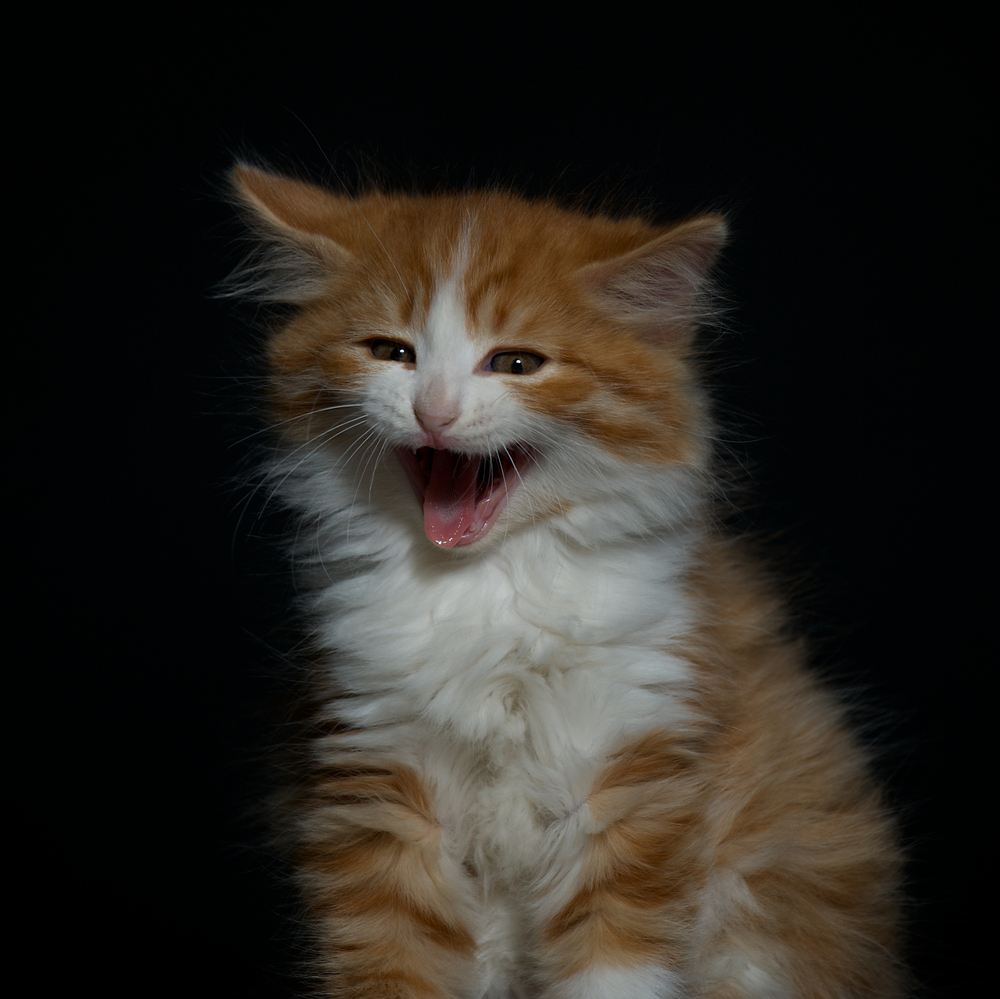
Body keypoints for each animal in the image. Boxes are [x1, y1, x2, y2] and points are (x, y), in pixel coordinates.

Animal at [227, 166, 908, 999]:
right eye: (392, 351)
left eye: (516, 364)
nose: (434, 409)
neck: (487, 591)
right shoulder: (376, 779)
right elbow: (391, 963)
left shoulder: (633, 762)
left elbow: (614, 967)